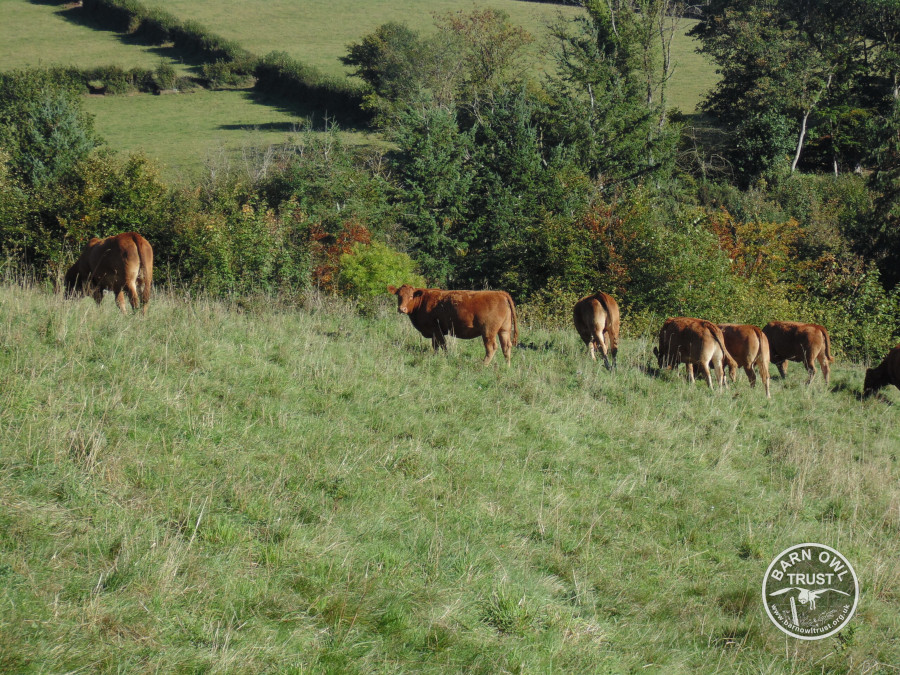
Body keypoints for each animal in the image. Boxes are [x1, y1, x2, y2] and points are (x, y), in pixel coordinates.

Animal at [388, 286, 520, 368]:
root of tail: (500, 293)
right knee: (506, 346)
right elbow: (436, 346)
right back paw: (507, 366)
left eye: (411, 296)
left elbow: (442, 344)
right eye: (399, 296)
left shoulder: (436, 328)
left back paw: (484, 365)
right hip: (504, 330)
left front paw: (445, 357)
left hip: (488, 331)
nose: (402, 309)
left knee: (491, 347)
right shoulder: (435, 331)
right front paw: (435, 356)